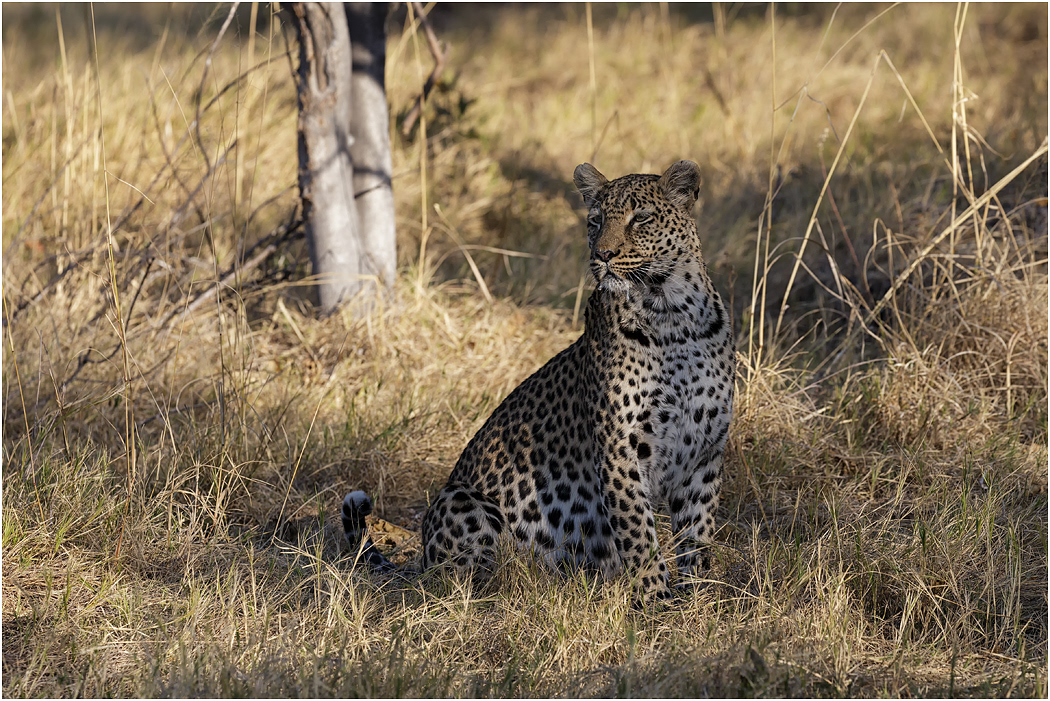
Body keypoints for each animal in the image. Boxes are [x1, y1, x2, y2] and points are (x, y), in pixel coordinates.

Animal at [342, 160, 735, 601]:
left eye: (641, 218)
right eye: (596, 221)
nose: (603, 255)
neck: (672, 315)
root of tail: (420, 562)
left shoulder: (705, 449)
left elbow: (697, 530)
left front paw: (701, 595)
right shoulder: (620, 447)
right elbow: (638, 531)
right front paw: (655, 599)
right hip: (462, 500)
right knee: (460, 580)